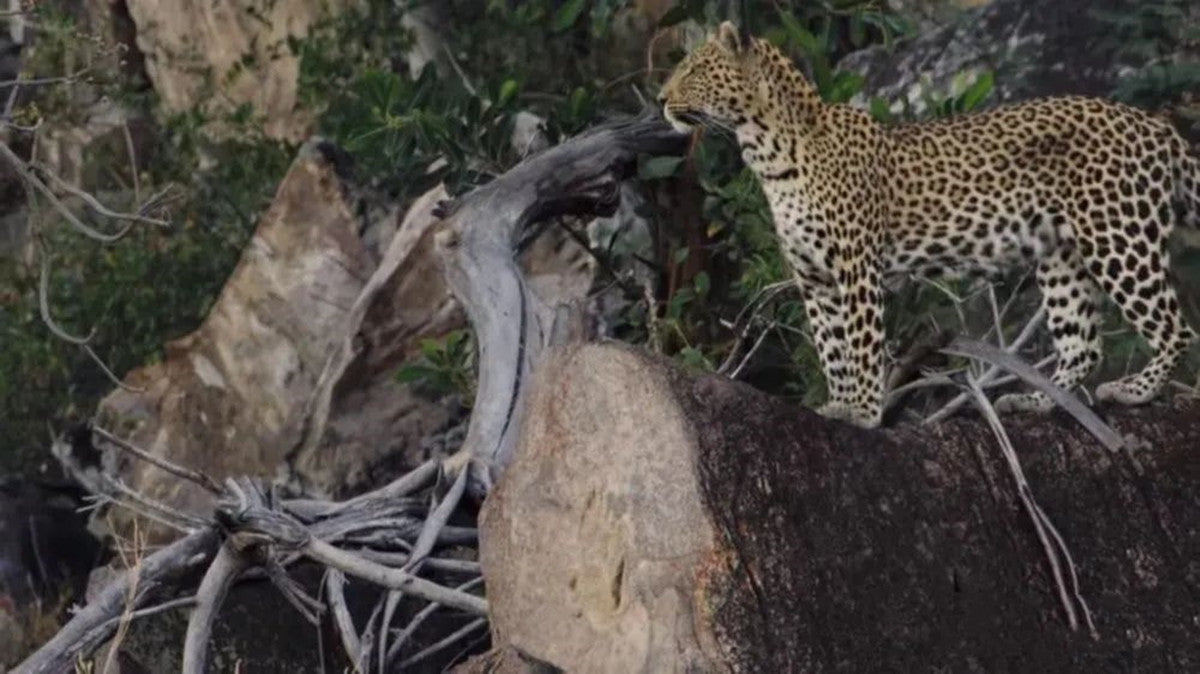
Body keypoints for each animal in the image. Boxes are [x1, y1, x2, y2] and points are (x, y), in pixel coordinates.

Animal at [659, 21, 1200, 429]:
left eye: (695, 71)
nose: (662, 99)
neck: (767, 151)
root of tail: (1156, 125)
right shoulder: (813, 276)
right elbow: (831, 346)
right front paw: (838, 404)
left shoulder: (856, 265)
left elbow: (861, 343)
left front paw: (865, 411)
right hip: (1059, 255)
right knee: (1082, 347)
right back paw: (1037, 402)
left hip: (1118, 237)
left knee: (1177, 329)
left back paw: (1136, 391)